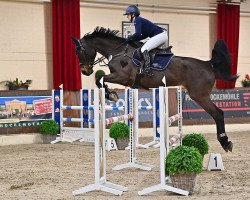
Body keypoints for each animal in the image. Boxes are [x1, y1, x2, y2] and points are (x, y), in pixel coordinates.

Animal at [72, 26, 238, 152]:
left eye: (79, 51)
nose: (85, 71)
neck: (117, 52)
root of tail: (208, 64)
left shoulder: (121, 77)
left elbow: (100, 79)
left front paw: (112, 95)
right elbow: (100, 80)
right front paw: (111, 94)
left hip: (199, 95)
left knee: (218, 113)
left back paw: (225, 142)